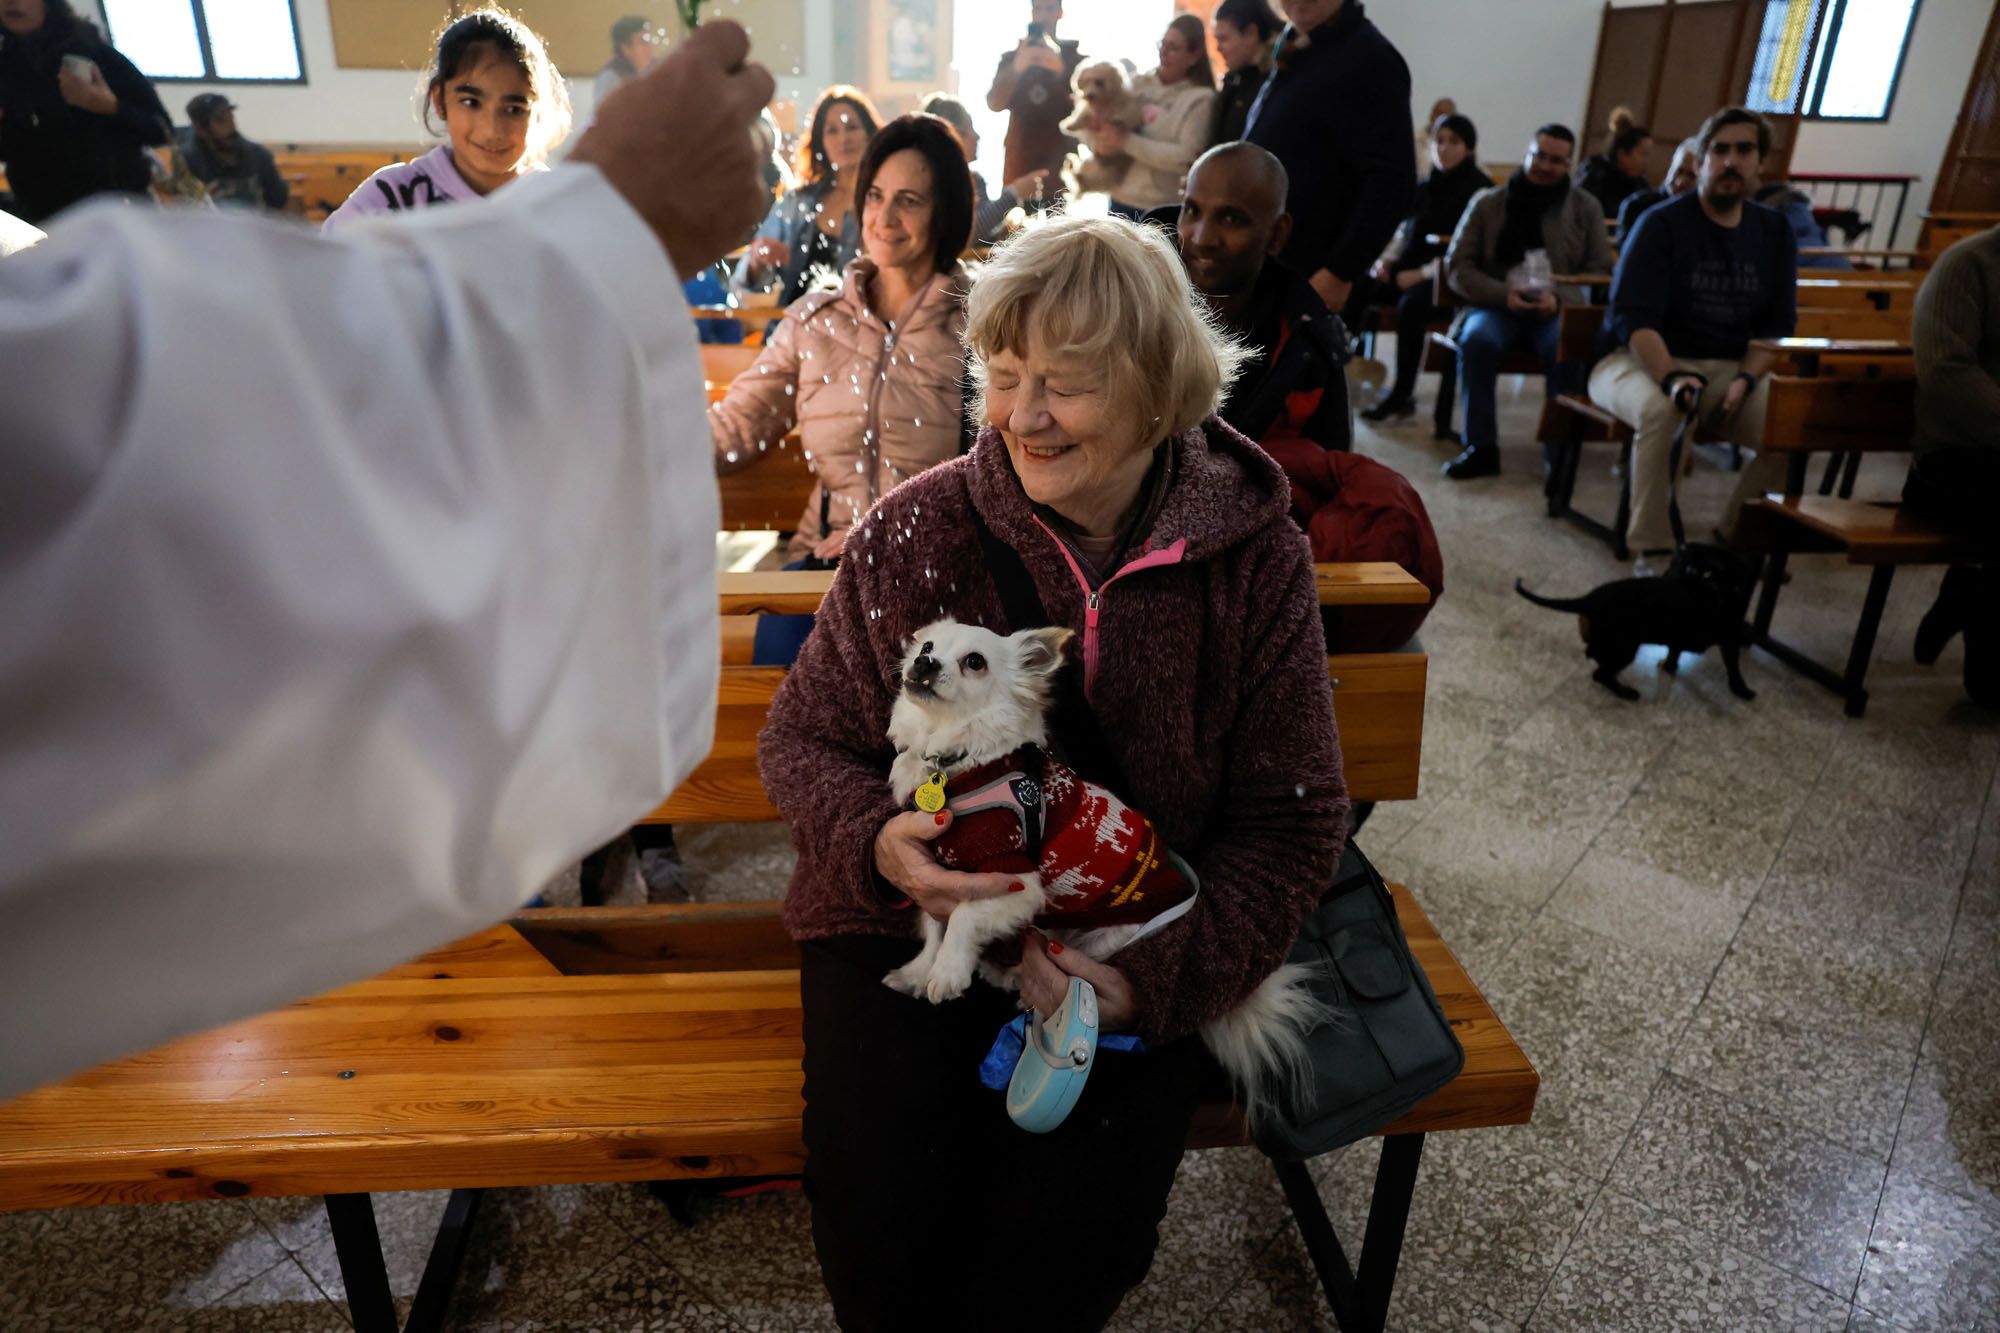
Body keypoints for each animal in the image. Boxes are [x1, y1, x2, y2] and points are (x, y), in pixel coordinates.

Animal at [1520, 544, 1760, 700]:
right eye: (1682, 567)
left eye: (1708, 573)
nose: (1676, 575)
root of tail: (1588, 600)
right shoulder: (1728, 638)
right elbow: (1733, 666)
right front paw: (1742, 690)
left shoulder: (1704, 635)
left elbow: (1679, 651)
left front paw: (1670, 667)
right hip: (1625, 648)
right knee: (1600, 674)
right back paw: (1626, 693)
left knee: (1595, 656)